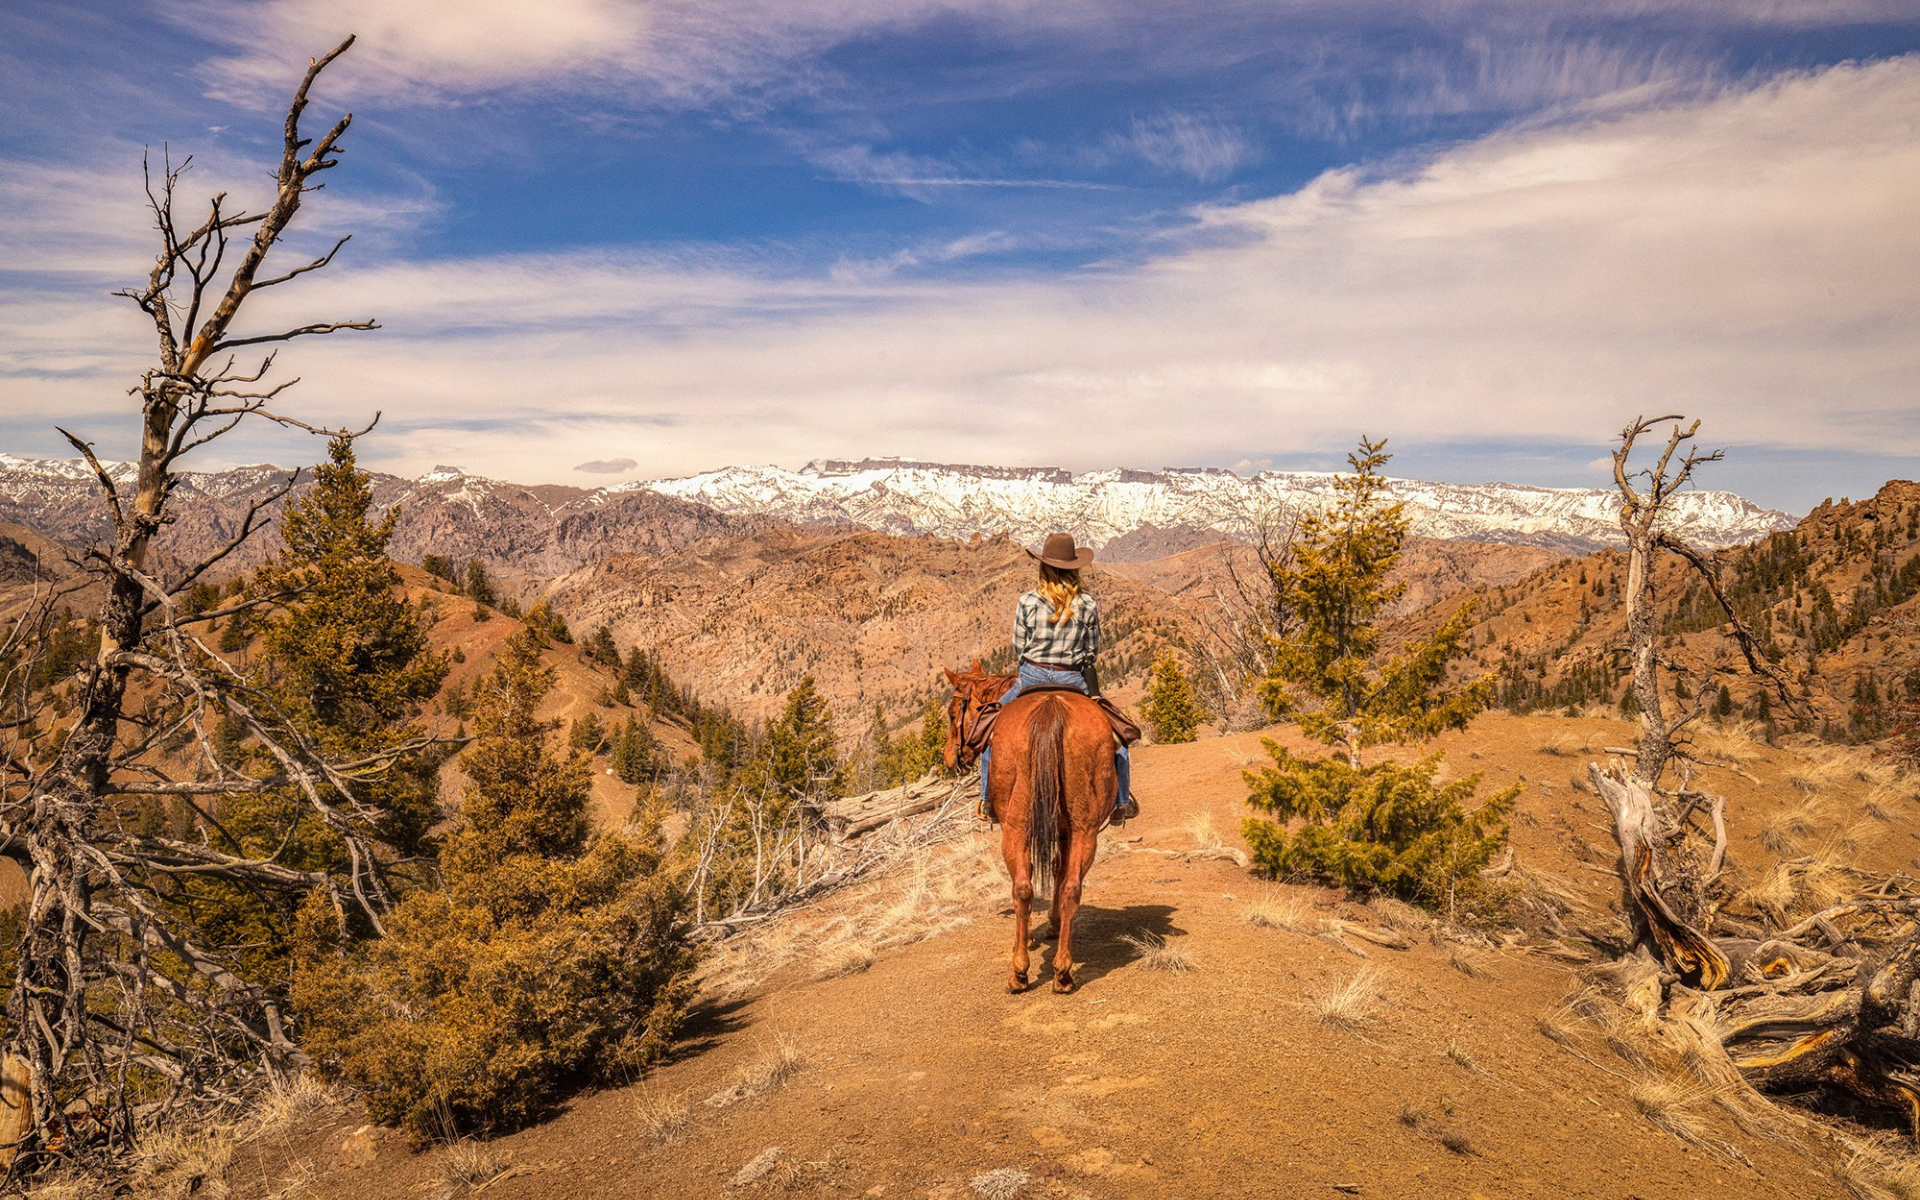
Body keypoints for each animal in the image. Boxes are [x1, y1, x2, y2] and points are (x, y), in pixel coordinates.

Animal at [940, 660, 1121, 990]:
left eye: (951, 713)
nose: (949, 759)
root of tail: (1050, 709)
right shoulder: (1064, 832)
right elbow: (1059, 872)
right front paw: (1053, 923)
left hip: (1016, 828)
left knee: (1023, 887)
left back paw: (1019, 972)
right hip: (1084, 829)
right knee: (1071, 887)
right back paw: (1062, 972)